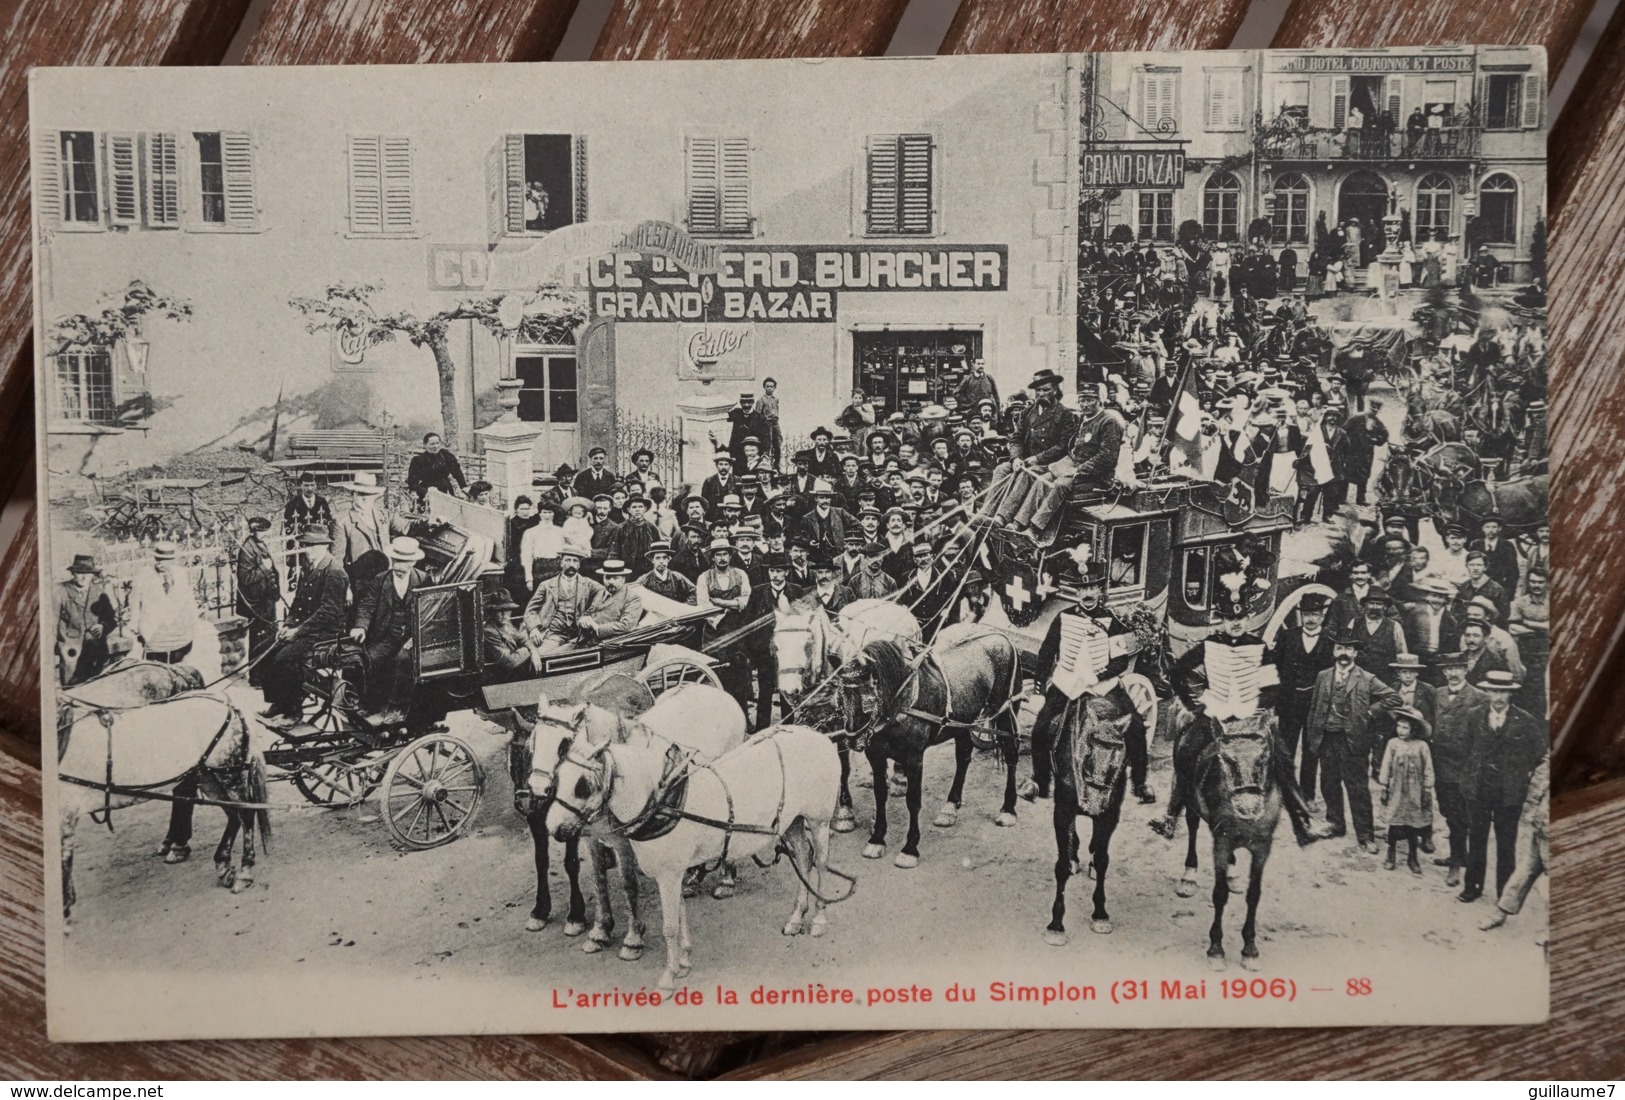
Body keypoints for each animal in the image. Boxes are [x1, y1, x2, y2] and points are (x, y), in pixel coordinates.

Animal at [526, 682, 744, 955]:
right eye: (533, 741)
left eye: (563, 744)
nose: (537, 789)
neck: (614, 773)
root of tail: (717, 692)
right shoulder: (591, 838)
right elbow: (599, 880)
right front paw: (600, 931)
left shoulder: (624, 841)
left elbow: (628, 883)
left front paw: (633, 938)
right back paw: (693, 877)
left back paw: (726, 880)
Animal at [552, 724, 845, 987]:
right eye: (557, 778)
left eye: (582, 785)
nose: (556, 829)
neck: (664, 801)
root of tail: (821, 737)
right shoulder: (676, 871)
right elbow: (681, 915)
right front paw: (683, 964)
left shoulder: (669, 874)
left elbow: (670, 926)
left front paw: (668, 978)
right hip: (792, 821)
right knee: (803, 858)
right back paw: (795, 919)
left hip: (818, 821)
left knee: (820, 864)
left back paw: (818, 920)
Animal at [838, 627, 1014, 864]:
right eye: (841, 696)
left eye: (867, 697)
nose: (852, 739)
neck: (900, 703)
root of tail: (999, 635)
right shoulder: (876, 756)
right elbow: (880, 795)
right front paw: (877, 839)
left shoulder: (914, 759)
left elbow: (913, 801)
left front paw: (910, 848)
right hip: (963, 723)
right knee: (963, 758)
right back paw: (950, 807)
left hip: (1004, 711)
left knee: (1011, 753)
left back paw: (1008, 809)